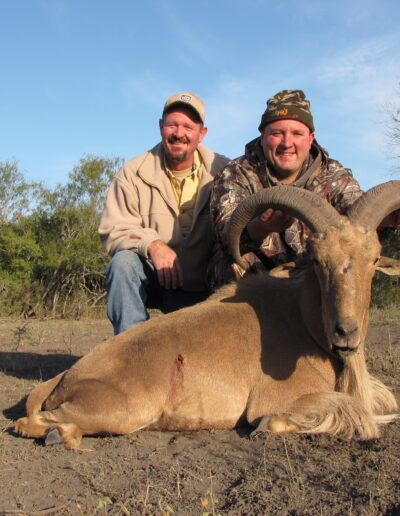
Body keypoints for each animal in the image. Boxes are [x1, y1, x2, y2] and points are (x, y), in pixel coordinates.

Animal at [14, 180, 398, 448]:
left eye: (374, 259)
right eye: (318, 261)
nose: (346, 333)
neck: (305, 321)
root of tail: (66, 378)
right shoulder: (278, 399)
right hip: (119, 410)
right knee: (29, 422)